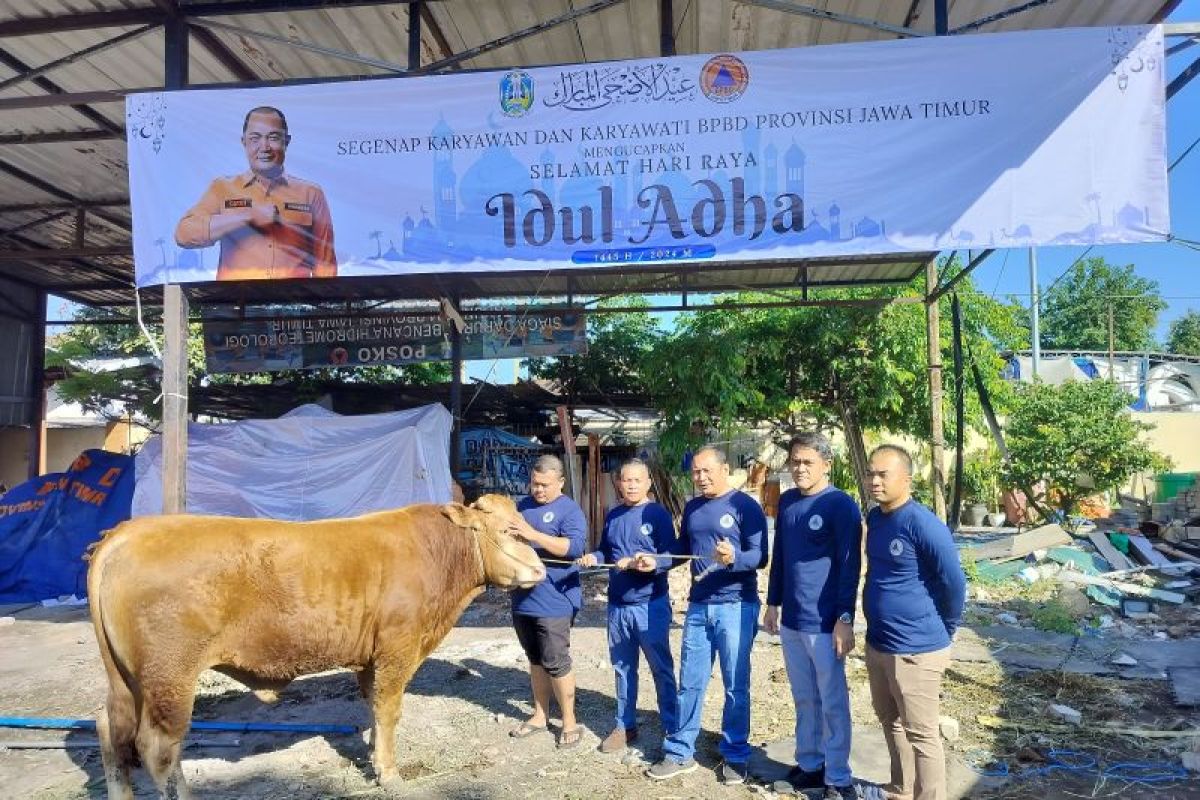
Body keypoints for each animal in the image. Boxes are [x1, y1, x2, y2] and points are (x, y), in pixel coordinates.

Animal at [88, 494, 544, 800]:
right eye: (510, 532)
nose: (541, 570)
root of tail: (126, 532)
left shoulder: (370, 658)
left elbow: (373, 708)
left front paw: (374, 757)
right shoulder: (397, 648)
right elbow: (389, 710)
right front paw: (389, 773)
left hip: (125, 679)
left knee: (111, 731)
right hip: (169, 677)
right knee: (158, 748)